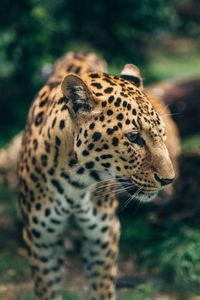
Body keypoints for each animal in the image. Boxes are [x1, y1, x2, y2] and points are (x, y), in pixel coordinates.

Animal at [17, 51, 177, 300]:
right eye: (133, 137)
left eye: (162, 134)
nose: (168, 180)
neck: (75, 182)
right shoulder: (42, 239)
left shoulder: (103, 235)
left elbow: (102, 287)